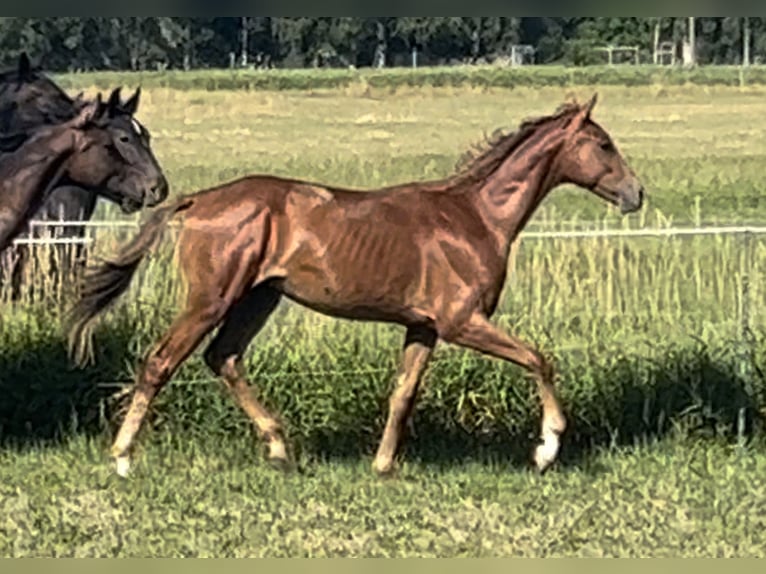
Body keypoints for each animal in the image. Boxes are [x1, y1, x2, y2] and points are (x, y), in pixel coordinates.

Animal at [66, 95, 644, 482]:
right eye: (603, 144)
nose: (636, 193)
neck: (475, 218)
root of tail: (198, 199)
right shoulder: (461, 321)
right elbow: (539, 360)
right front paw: (546, 448)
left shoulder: (423, 327)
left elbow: (402, 393)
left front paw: (384, 464)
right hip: (212, 299)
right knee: (161, 361)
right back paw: (123, 458)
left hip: (258, 298)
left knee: (223, 358)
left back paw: (280, 449)